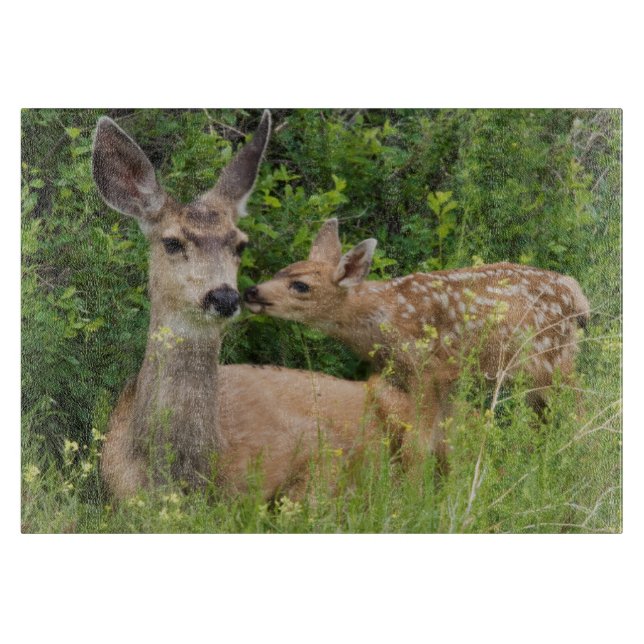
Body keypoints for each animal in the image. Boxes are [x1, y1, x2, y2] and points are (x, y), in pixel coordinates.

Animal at [243, 218, 590, 462]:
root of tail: (577, 293)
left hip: (551, 358)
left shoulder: (426, 369)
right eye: (281, 271)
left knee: (578, 408)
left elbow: (419, 445)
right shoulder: (439, 379)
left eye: (301, 286)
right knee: (543, 419)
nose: (251, 292)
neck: (383, 318)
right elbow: (444, 442)